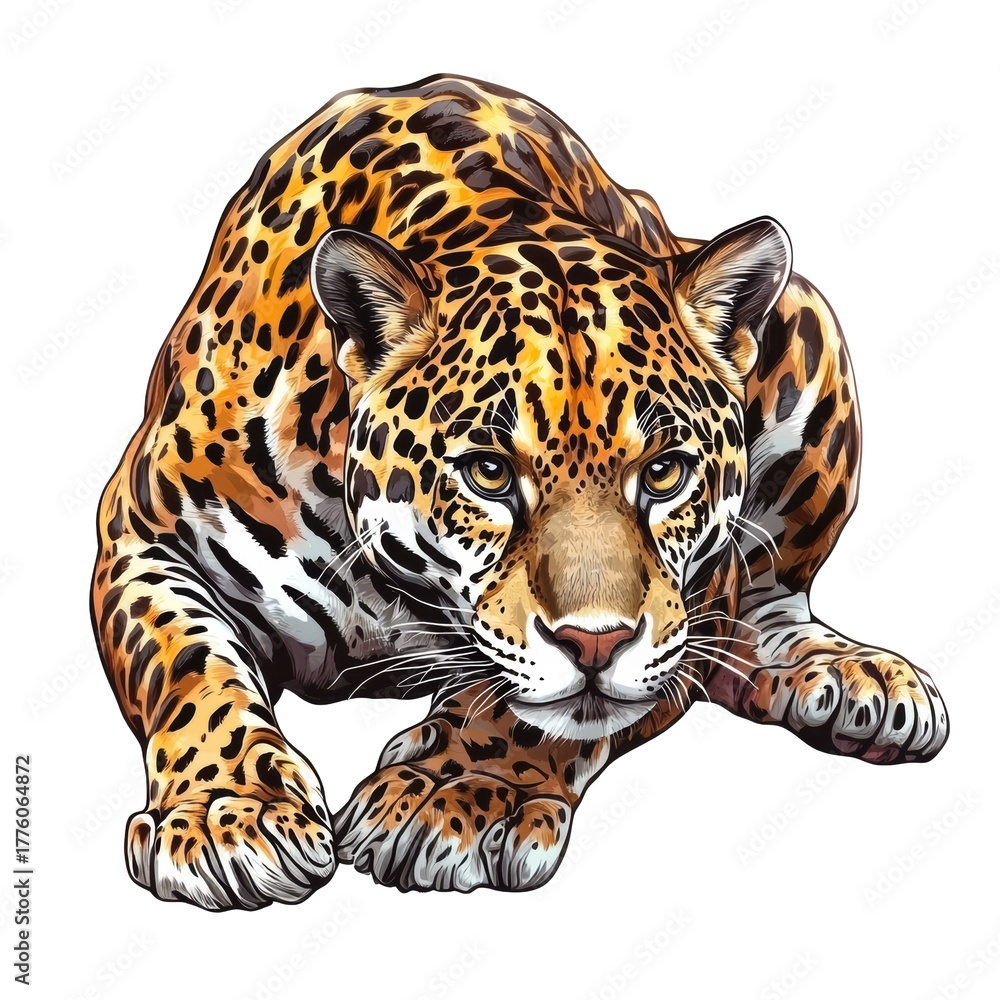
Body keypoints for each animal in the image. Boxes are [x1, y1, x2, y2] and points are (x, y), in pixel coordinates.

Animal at [90, 73, 949, 909]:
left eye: (664, 472)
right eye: (491, 473)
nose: (598, 642)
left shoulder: (691, 601)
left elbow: (543, 712)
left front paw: (453, 794)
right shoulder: (142, 535)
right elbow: (189, 664)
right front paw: (227, 814)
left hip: (809, 322)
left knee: (766, 611)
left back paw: (853, 678)